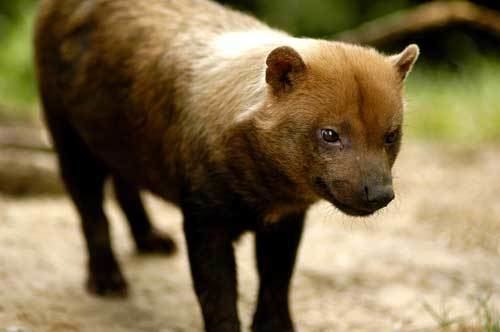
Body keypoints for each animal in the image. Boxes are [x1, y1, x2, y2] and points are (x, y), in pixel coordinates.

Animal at [34, 0, 418, 330]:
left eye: (390, 135)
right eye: (330, 133)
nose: (379, 194)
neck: (265, 188)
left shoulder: (286, 220)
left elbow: (277, 281)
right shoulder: (205, 218)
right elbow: (217, 294)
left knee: (124, 183)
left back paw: (150, 240)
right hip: (67, 137)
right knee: (91, 210)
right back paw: (107, 280)